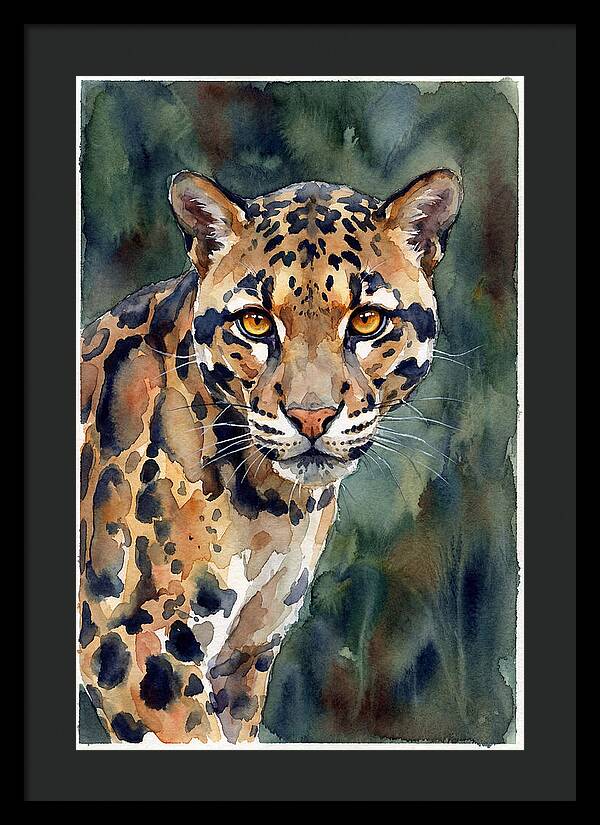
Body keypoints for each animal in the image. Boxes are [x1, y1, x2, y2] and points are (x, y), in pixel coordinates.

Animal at [79, 168, 463, 745]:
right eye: (256, 323)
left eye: (368, 321)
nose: (312, 416)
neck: (272, 507)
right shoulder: (132, 643)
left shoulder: (244, 657)